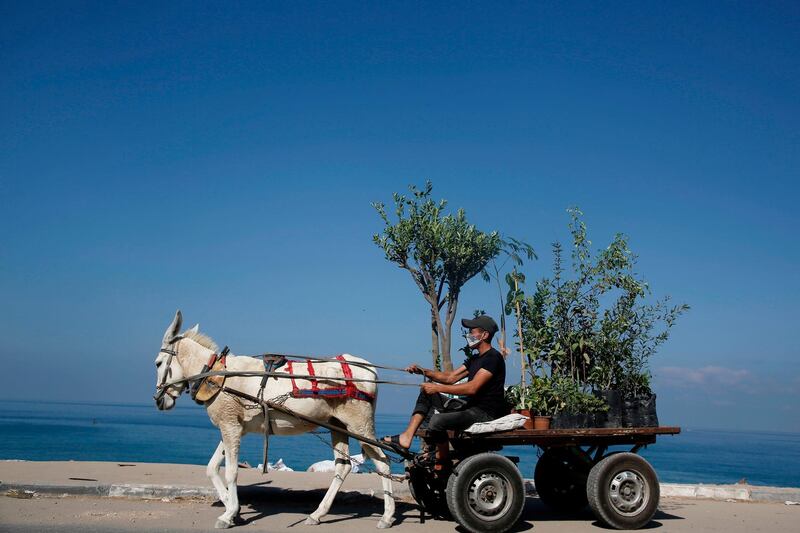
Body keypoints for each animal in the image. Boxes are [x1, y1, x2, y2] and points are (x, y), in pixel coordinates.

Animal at [153, 310, 396, 528]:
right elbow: (212, 468)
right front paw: (234, 509)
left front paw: (229, 514)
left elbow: (231, 472)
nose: (158, 400)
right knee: (342, 467)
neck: (216, 375)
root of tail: (369, 370)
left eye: (158, 363)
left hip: (360, 426)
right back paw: (317, 514)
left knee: (383, 461)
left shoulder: (230, 426)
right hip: (337, 425)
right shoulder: (233, 427)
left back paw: (387, 516)